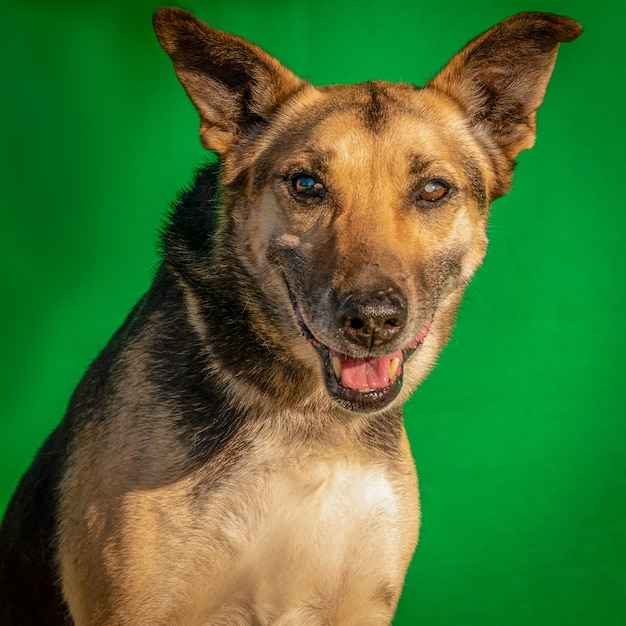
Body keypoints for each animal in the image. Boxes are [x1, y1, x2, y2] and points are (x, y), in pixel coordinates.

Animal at [0, 9, 576, 624]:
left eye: (433, 190)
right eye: (306, 185)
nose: (373, 320)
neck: (310, 423)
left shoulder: (361, 604)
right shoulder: (137, 609)